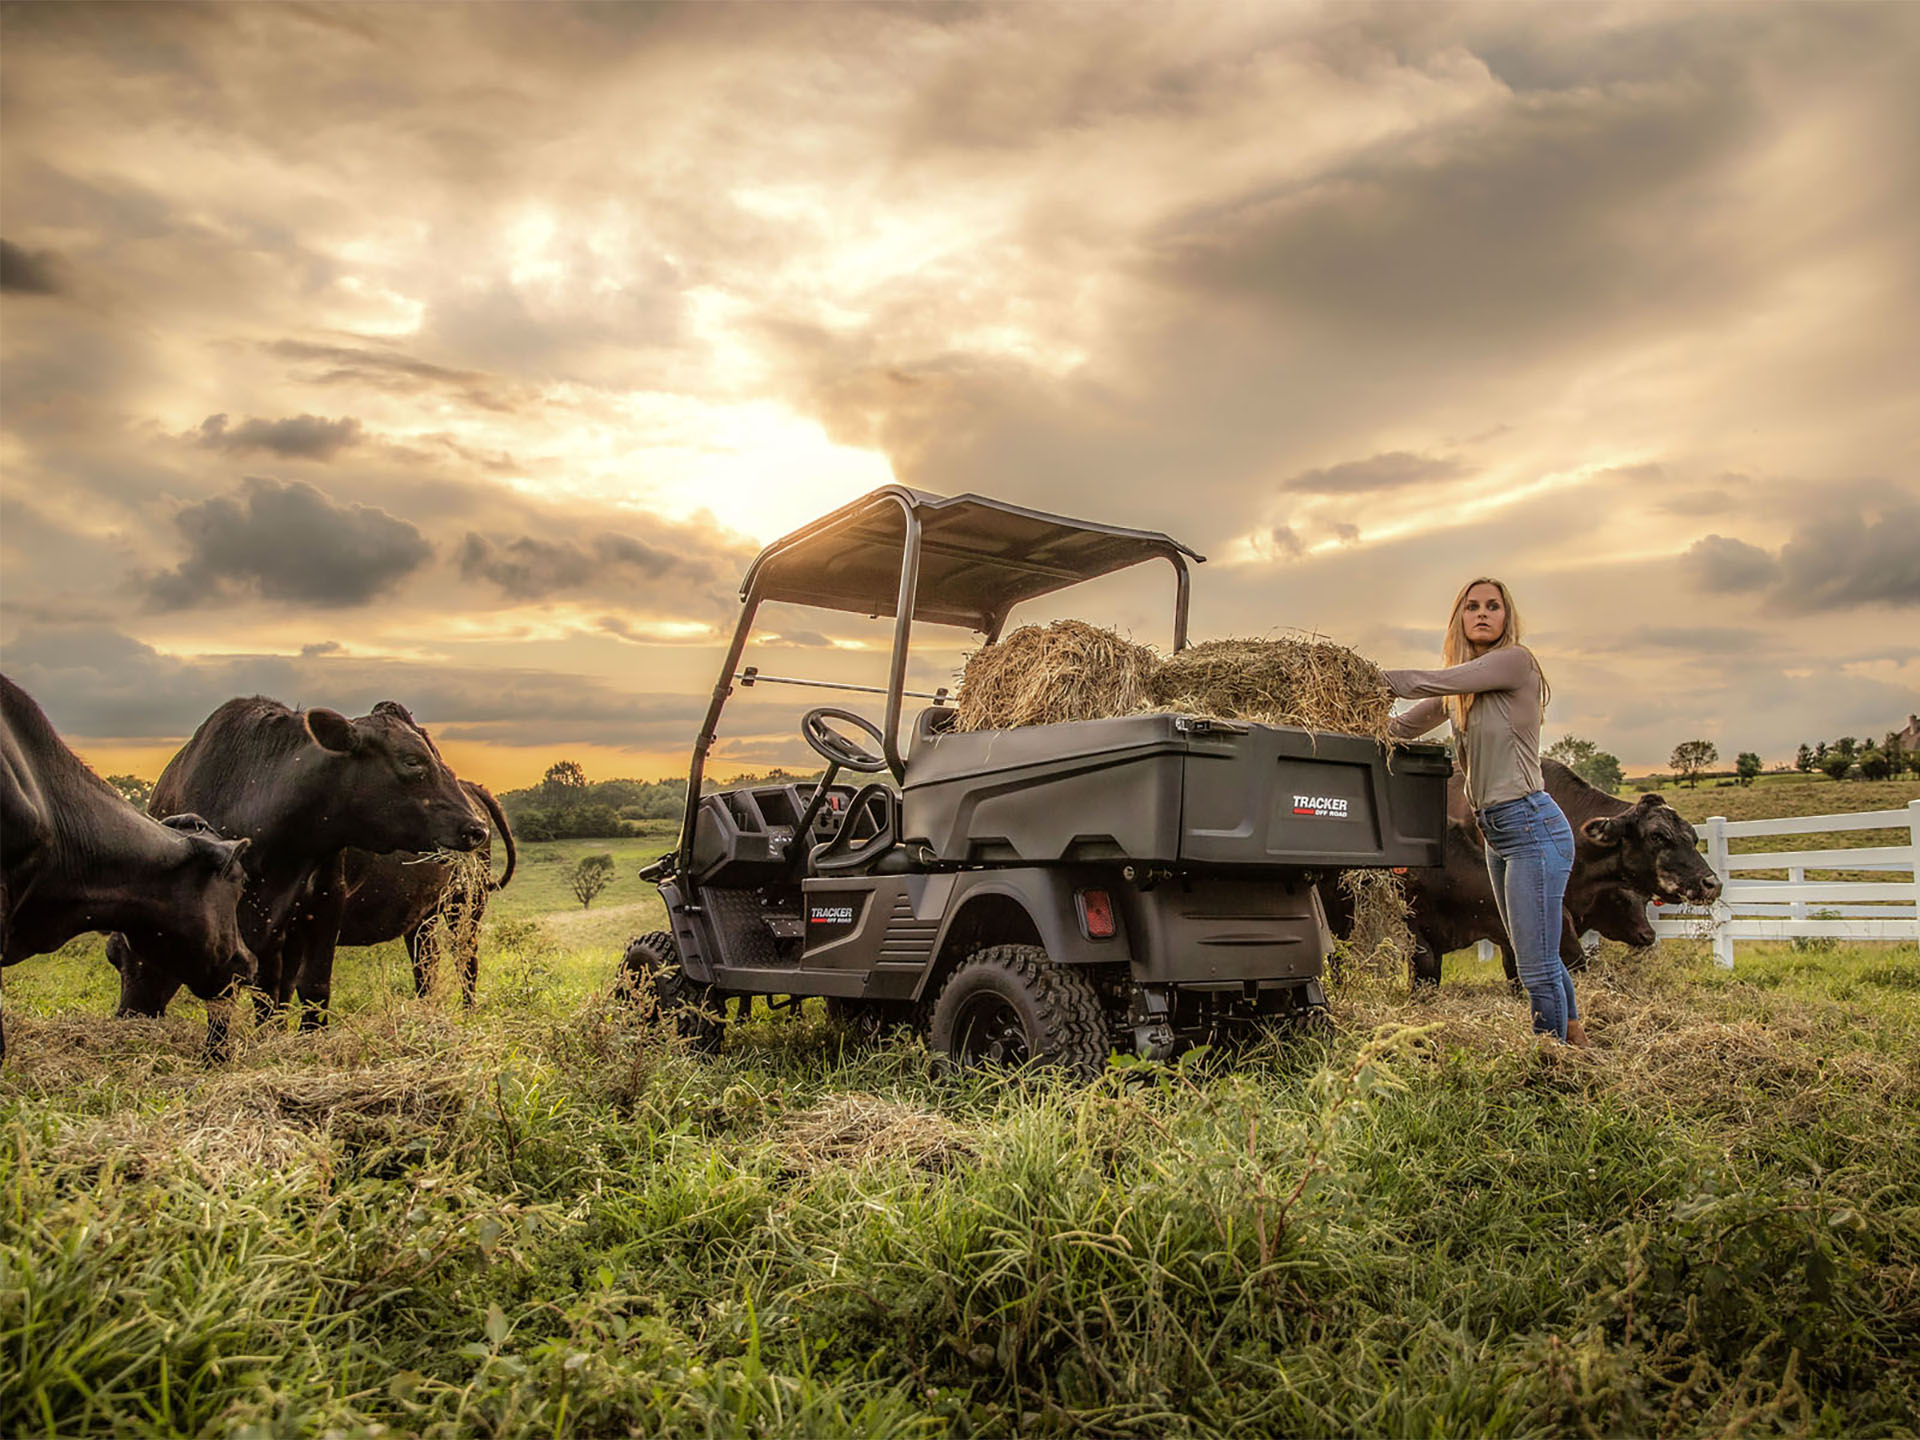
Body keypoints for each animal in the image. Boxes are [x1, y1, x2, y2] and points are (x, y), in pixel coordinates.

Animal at [110, 695, 487, 1029]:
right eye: (412, 760)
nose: (475, 828)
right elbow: (265, 993)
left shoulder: (324, 901)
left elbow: (312, 988)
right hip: (423, 920)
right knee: (426, 964)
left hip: (465, 907)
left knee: (465, 961)